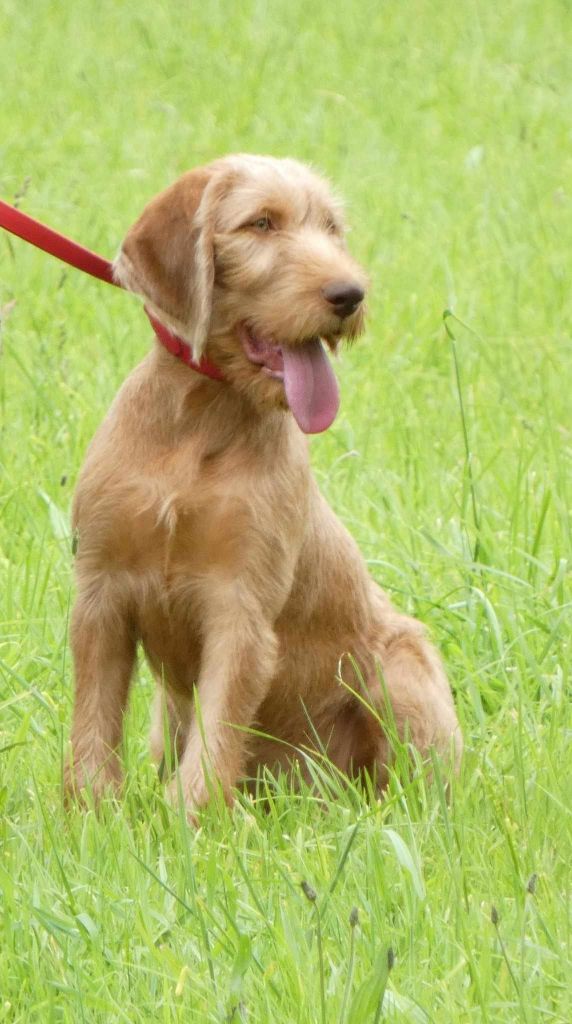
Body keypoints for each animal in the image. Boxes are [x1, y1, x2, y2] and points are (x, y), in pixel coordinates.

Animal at [65, 154, 462, 812]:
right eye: (261, 224)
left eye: (331, 228)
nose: (351, 294)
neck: (200, 420)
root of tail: (311, 791)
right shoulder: (101, 595)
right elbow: (92, 723)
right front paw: (91, 815)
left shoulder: (240, 606)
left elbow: (217, 733)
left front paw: (190, 822)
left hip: (402, 669)